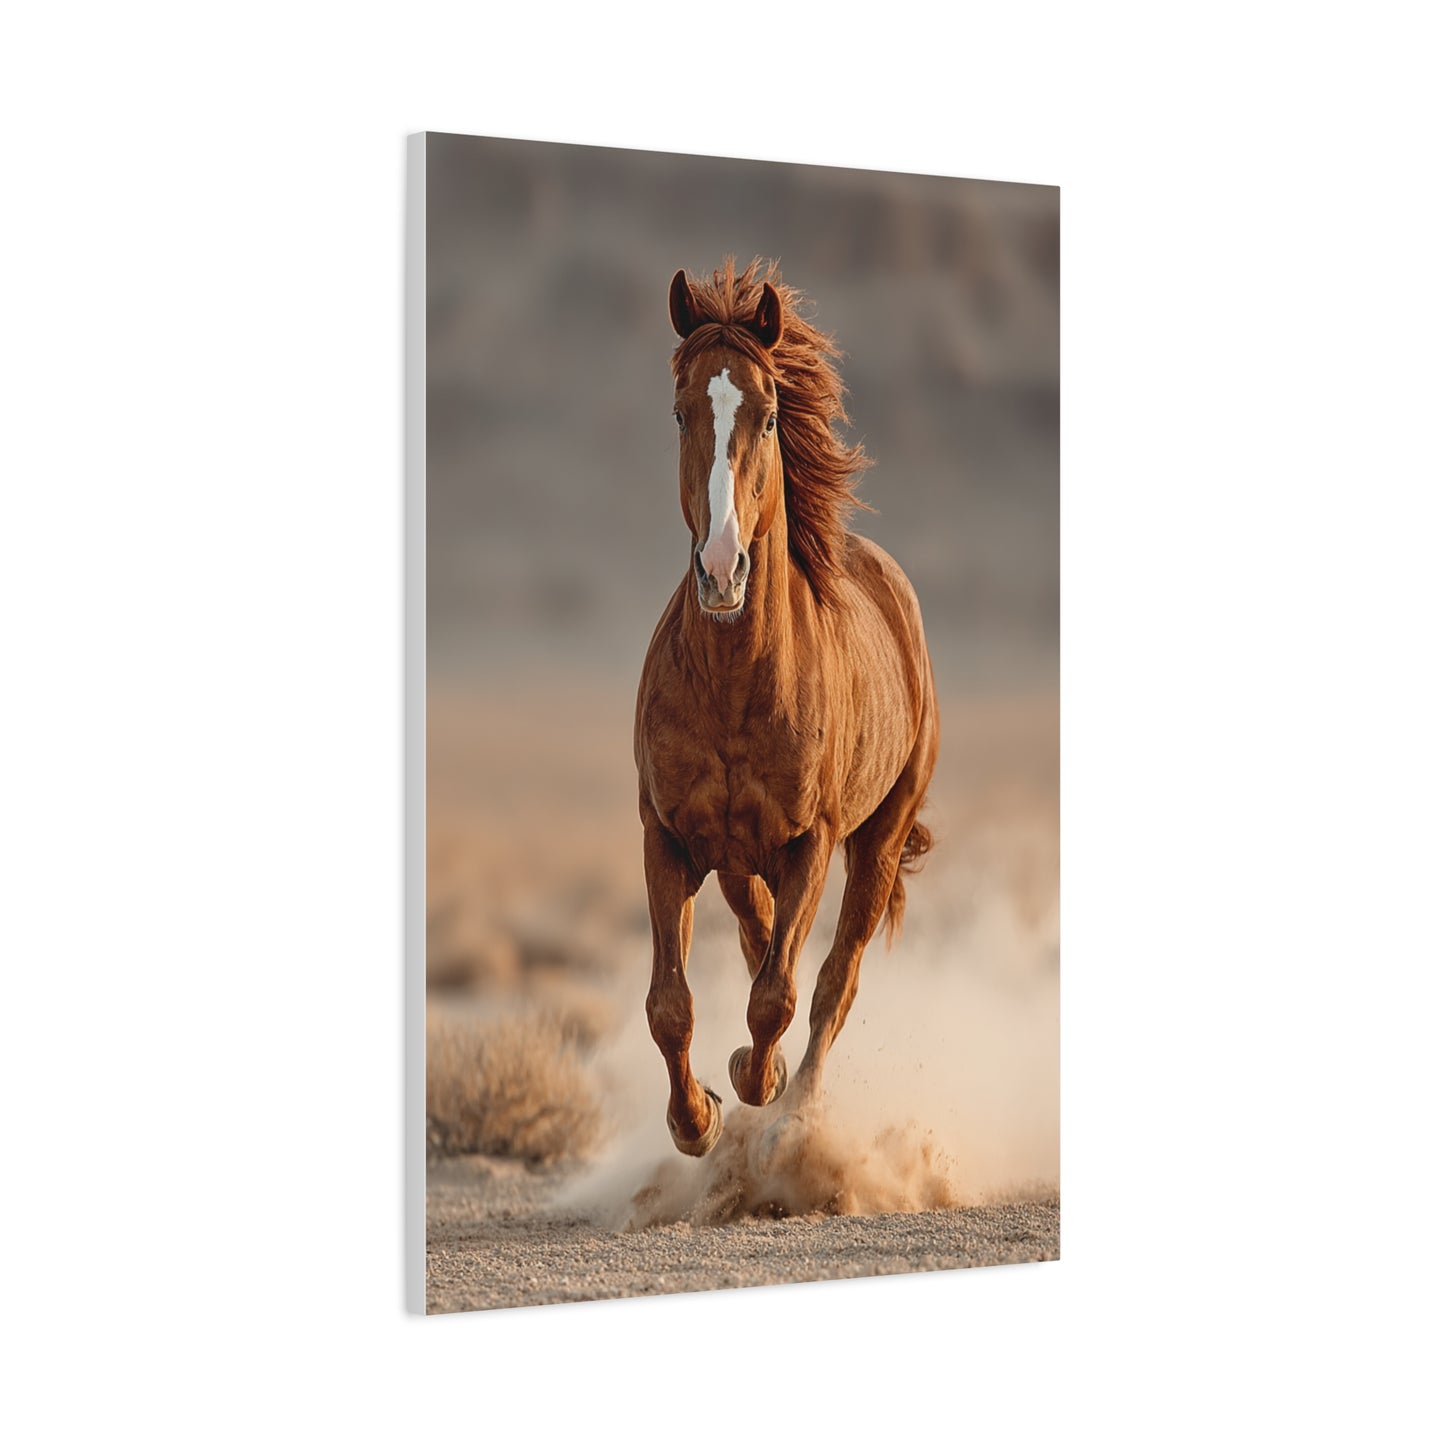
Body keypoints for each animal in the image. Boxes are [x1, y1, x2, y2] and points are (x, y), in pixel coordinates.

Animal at [634, 257, 939, 1158]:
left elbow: (781, 993)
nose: (721, 569)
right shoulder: (665, 836)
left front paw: (753, 1081)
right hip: (737, 859)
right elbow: (670, 1005)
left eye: (767, 415)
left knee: (835, 977)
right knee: (757, 932)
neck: (737, 684)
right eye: (680, 411)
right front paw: (695, 1118)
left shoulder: (812, 842)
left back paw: (794, 1109)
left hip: (877, 839)